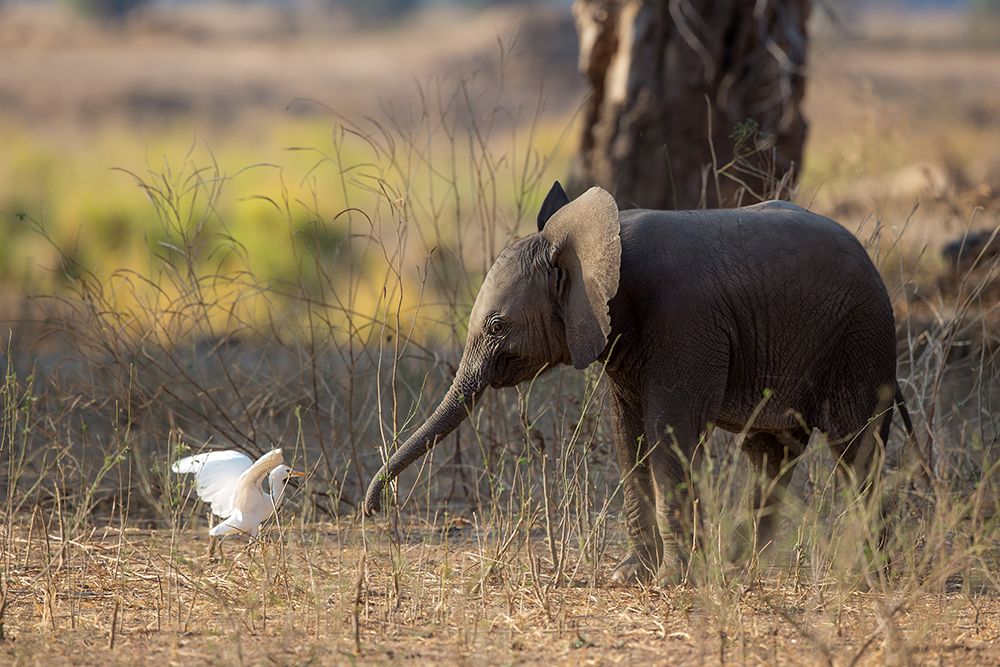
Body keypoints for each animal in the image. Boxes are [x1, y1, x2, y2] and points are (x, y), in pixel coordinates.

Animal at [364, 181, 912, 584]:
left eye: (498, 326)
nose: (374, 510)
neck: (597, 237)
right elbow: (629, 437)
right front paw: (631, 577)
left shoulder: (684, 321)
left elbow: (669, 434)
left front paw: (672, 581)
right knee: (770, 452)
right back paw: (740, 569)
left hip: (861, 339)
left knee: (857, 450)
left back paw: (869, 578)